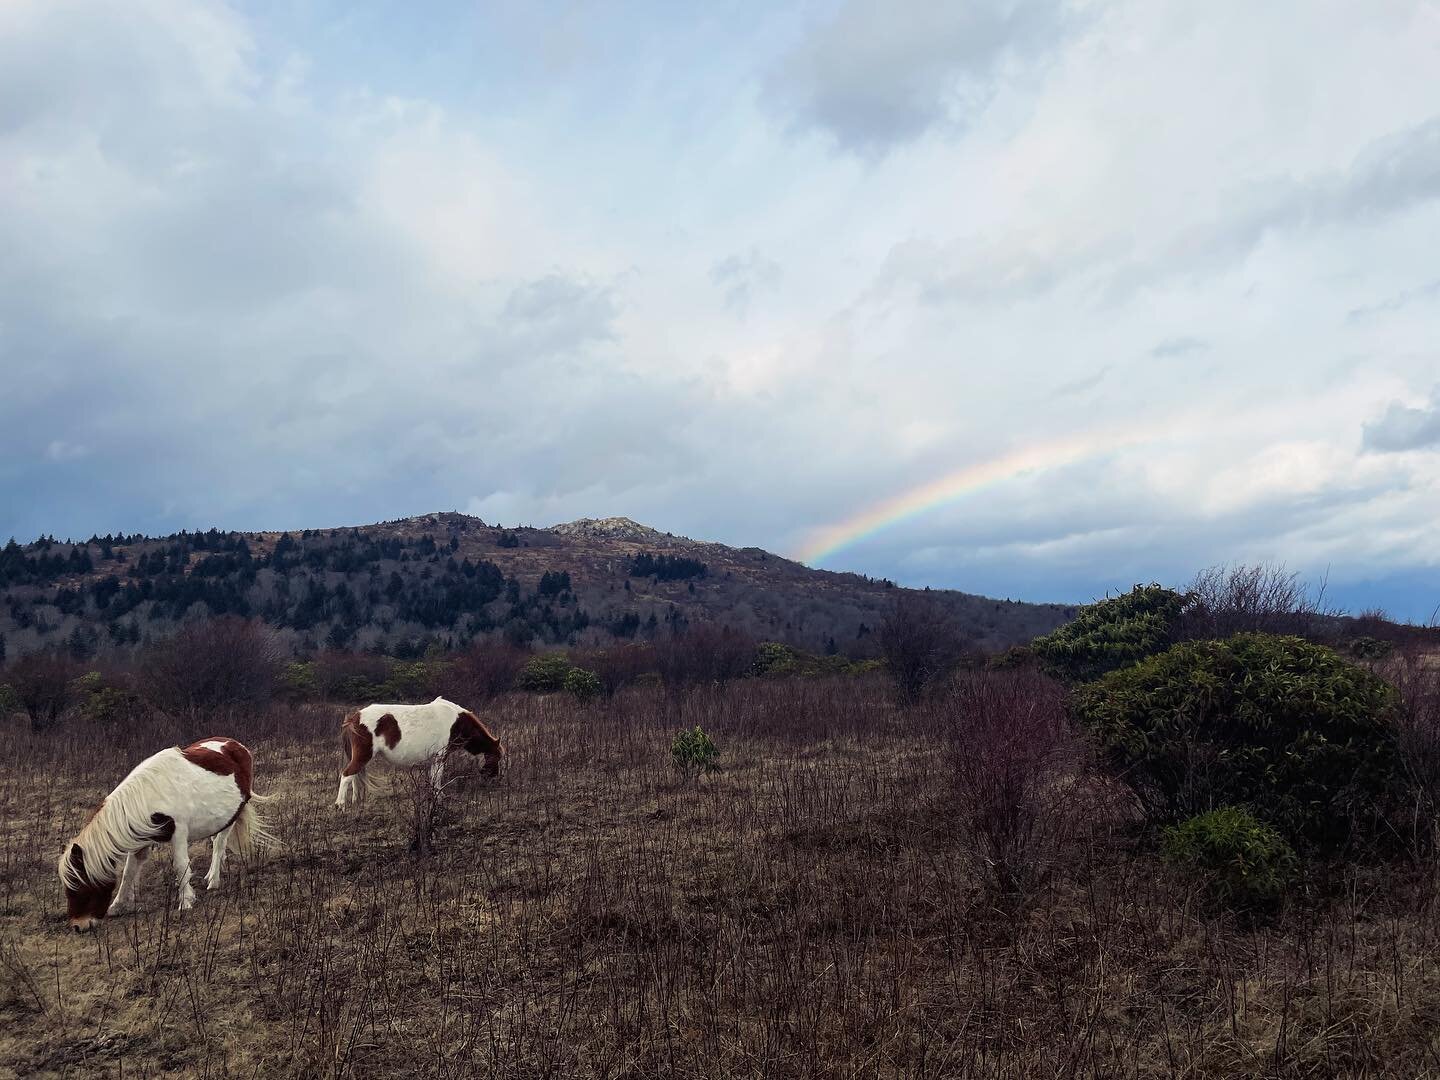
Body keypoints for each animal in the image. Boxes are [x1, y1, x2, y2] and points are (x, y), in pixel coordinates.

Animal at [58, 743, 275, 933]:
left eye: (80, 887)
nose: (78, 926)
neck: (148, 796)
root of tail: (236, 745)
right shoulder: (140, 837)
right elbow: (128, 871)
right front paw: (117, 906)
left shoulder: (178, 833)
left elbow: (180, 866)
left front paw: (186, 901)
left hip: (231, 817)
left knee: (219, 844)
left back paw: (213, 881)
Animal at [334, 696, 504, 806]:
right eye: (495, 757)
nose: (494, 775)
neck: (457, 721)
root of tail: (355, 717)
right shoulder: (440, 756)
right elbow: (437, 778)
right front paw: (439, 797)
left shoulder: (435, 758)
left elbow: (433, 777)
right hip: (363, 755)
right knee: (347, 774)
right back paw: (340, 804)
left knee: (354, 776)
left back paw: (356, 801)